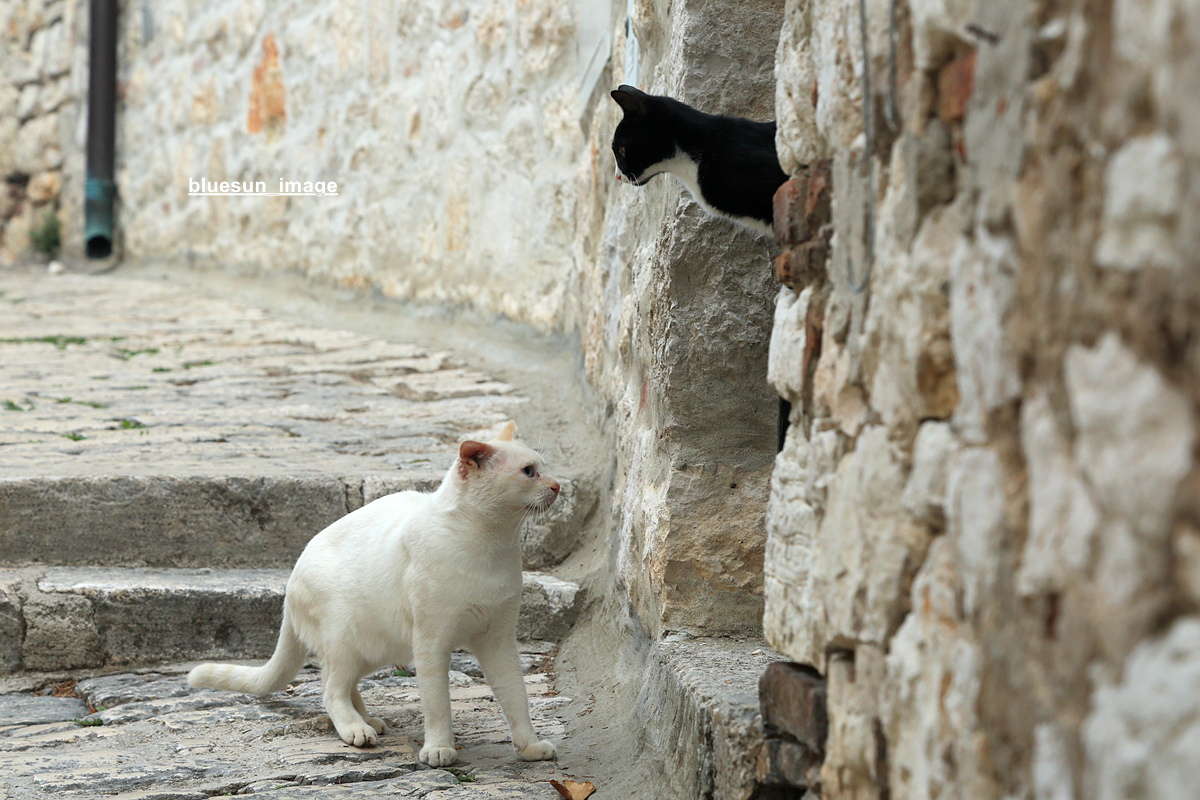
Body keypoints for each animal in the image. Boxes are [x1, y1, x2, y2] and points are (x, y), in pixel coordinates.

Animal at [187, 422, 561, 767]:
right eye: (529, 472)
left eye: (544, 467)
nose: (557, 485)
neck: (492, 544)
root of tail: (289, 586)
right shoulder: (431, 642)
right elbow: (437, 702)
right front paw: (439, 748)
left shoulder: (499, 640)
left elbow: (515, 696)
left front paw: (529, 746)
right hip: (346, 638)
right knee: (330, 690)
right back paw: (356, 729)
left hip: (371, 648)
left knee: (335, 682)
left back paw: (366, 720)